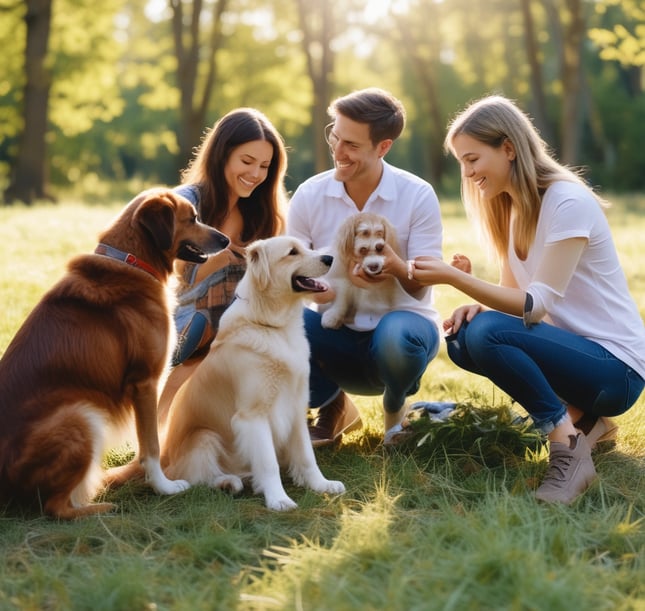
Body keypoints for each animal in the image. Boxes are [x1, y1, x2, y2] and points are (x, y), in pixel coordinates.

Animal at [0, 189, 229, 520]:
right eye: (193, 218)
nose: (226, 240)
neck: (134, 262)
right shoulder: (146, 382)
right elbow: (151, 445)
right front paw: (164, 487)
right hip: (81, 416)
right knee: (56, 508)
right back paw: (101, 506)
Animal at [159, 238, 344, 512]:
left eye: (306, 247)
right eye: (292, 253)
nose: (330, 259)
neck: (274, 327)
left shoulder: (295, 408)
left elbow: (306, 456)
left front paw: (321, 485)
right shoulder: (252, 416)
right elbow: (268, 463)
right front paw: (278, 499)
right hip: (205, 437)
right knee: (198, 478)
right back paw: (229, 482)